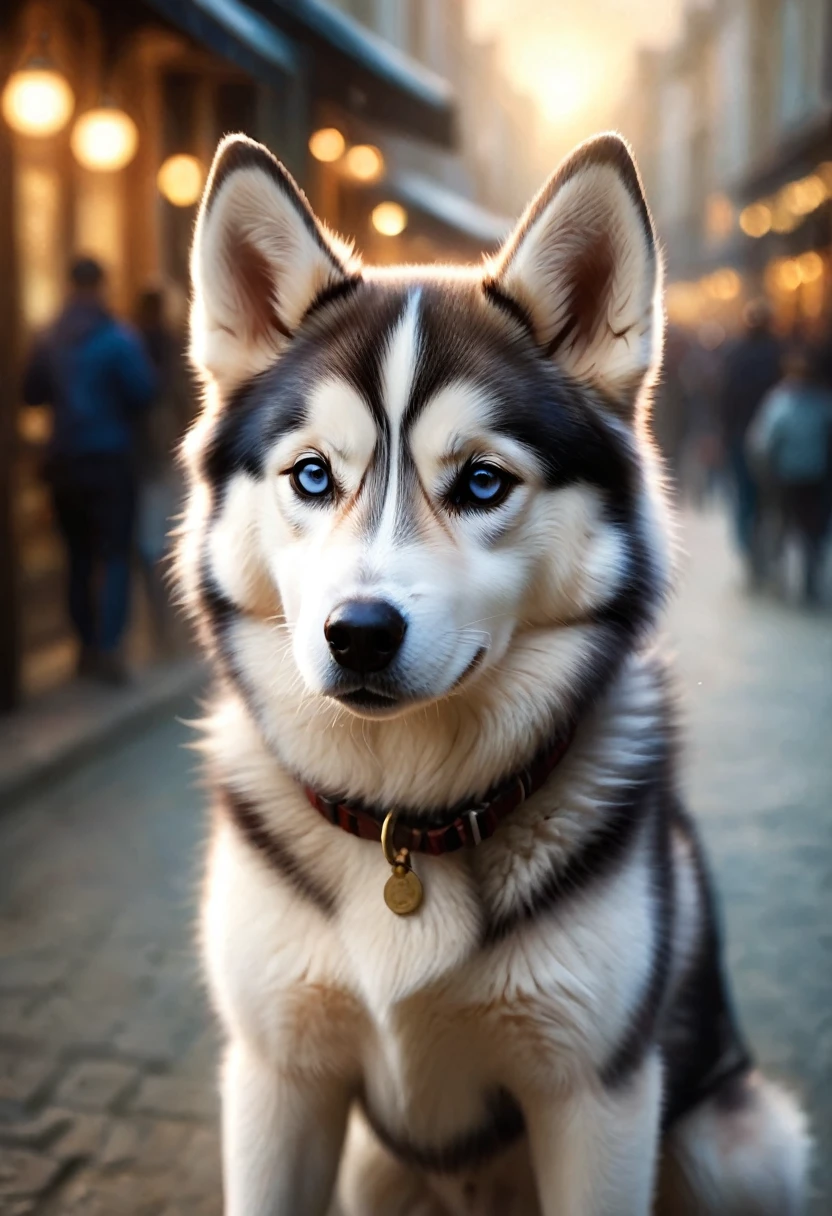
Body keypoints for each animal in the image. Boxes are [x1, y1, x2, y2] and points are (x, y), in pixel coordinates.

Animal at [178, 128, 807, 1211]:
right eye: (313, 475)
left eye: (480, 482)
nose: (359, 632)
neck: (408, 822)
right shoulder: (277, 1075)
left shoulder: (596, 1097)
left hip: (741, 1142)